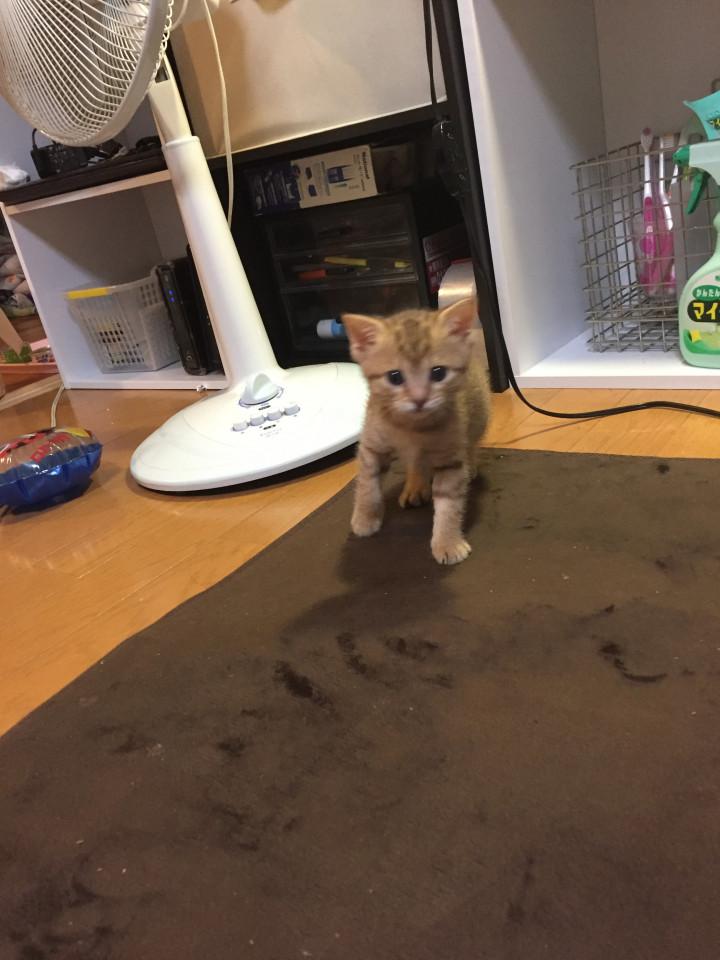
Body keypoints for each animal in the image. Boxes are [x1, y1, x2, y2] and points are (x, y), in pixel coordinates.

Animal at [342, 297, 490, 565]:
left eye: (438, 372)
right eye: (395, 377)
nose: (420, 399)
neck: (411, 428)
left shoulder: (449, 458)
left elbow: (448, 504)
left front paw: (447, 541)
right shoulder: (371, 445)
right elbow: (367, 483)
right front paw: (365, 517)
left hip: (479, 414)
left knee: (471, 442)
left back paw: (470, 464)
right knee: (415, 463)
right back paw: (415, 485)